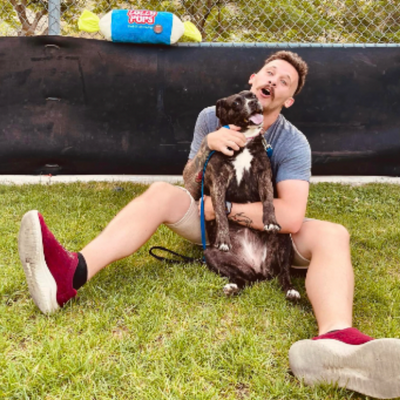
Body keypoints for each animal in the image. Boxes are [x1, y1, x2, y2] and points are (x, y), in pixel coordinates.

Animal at [203, 90, 300, 300]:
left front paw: (270, 221)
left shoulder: (263, 174)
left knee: (284, 273)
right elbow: (220, 211)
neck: (244, 142)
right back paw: (233, 286)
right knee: (243, 278)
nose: (254, 102)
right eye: (236, 103)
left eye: (252, 96)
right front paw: (223, 237)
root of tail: (259, 268)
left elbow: (269, 200)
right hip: (212, 255)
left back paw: (291, 290)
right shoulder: (218, 181)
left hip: (283, 241)